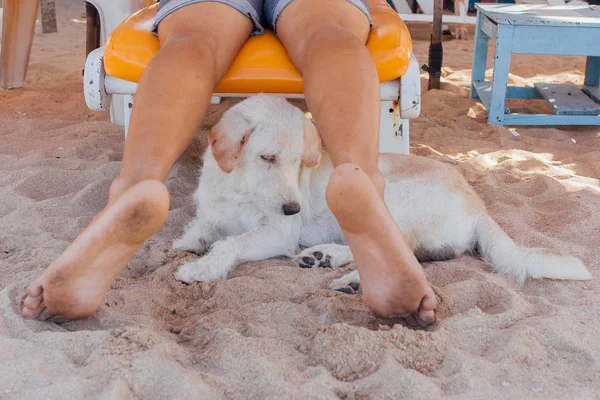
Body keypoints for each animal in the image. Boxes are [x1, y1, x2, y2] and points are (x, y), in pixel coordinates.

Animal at [171, 95, 592, 292]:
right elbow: (199, 230)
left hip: (390, 200)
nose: (293, 208)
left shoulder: (276, 232)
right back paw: (325, 257)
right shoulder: (213, 215)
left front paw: (202, 268)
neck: (238, 190)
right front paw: (185, 244)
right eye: (267, 158)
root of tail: (478, 204)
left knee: (402, 252)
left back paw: (354, 281)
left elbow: (229, 243)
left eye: (299, 164)